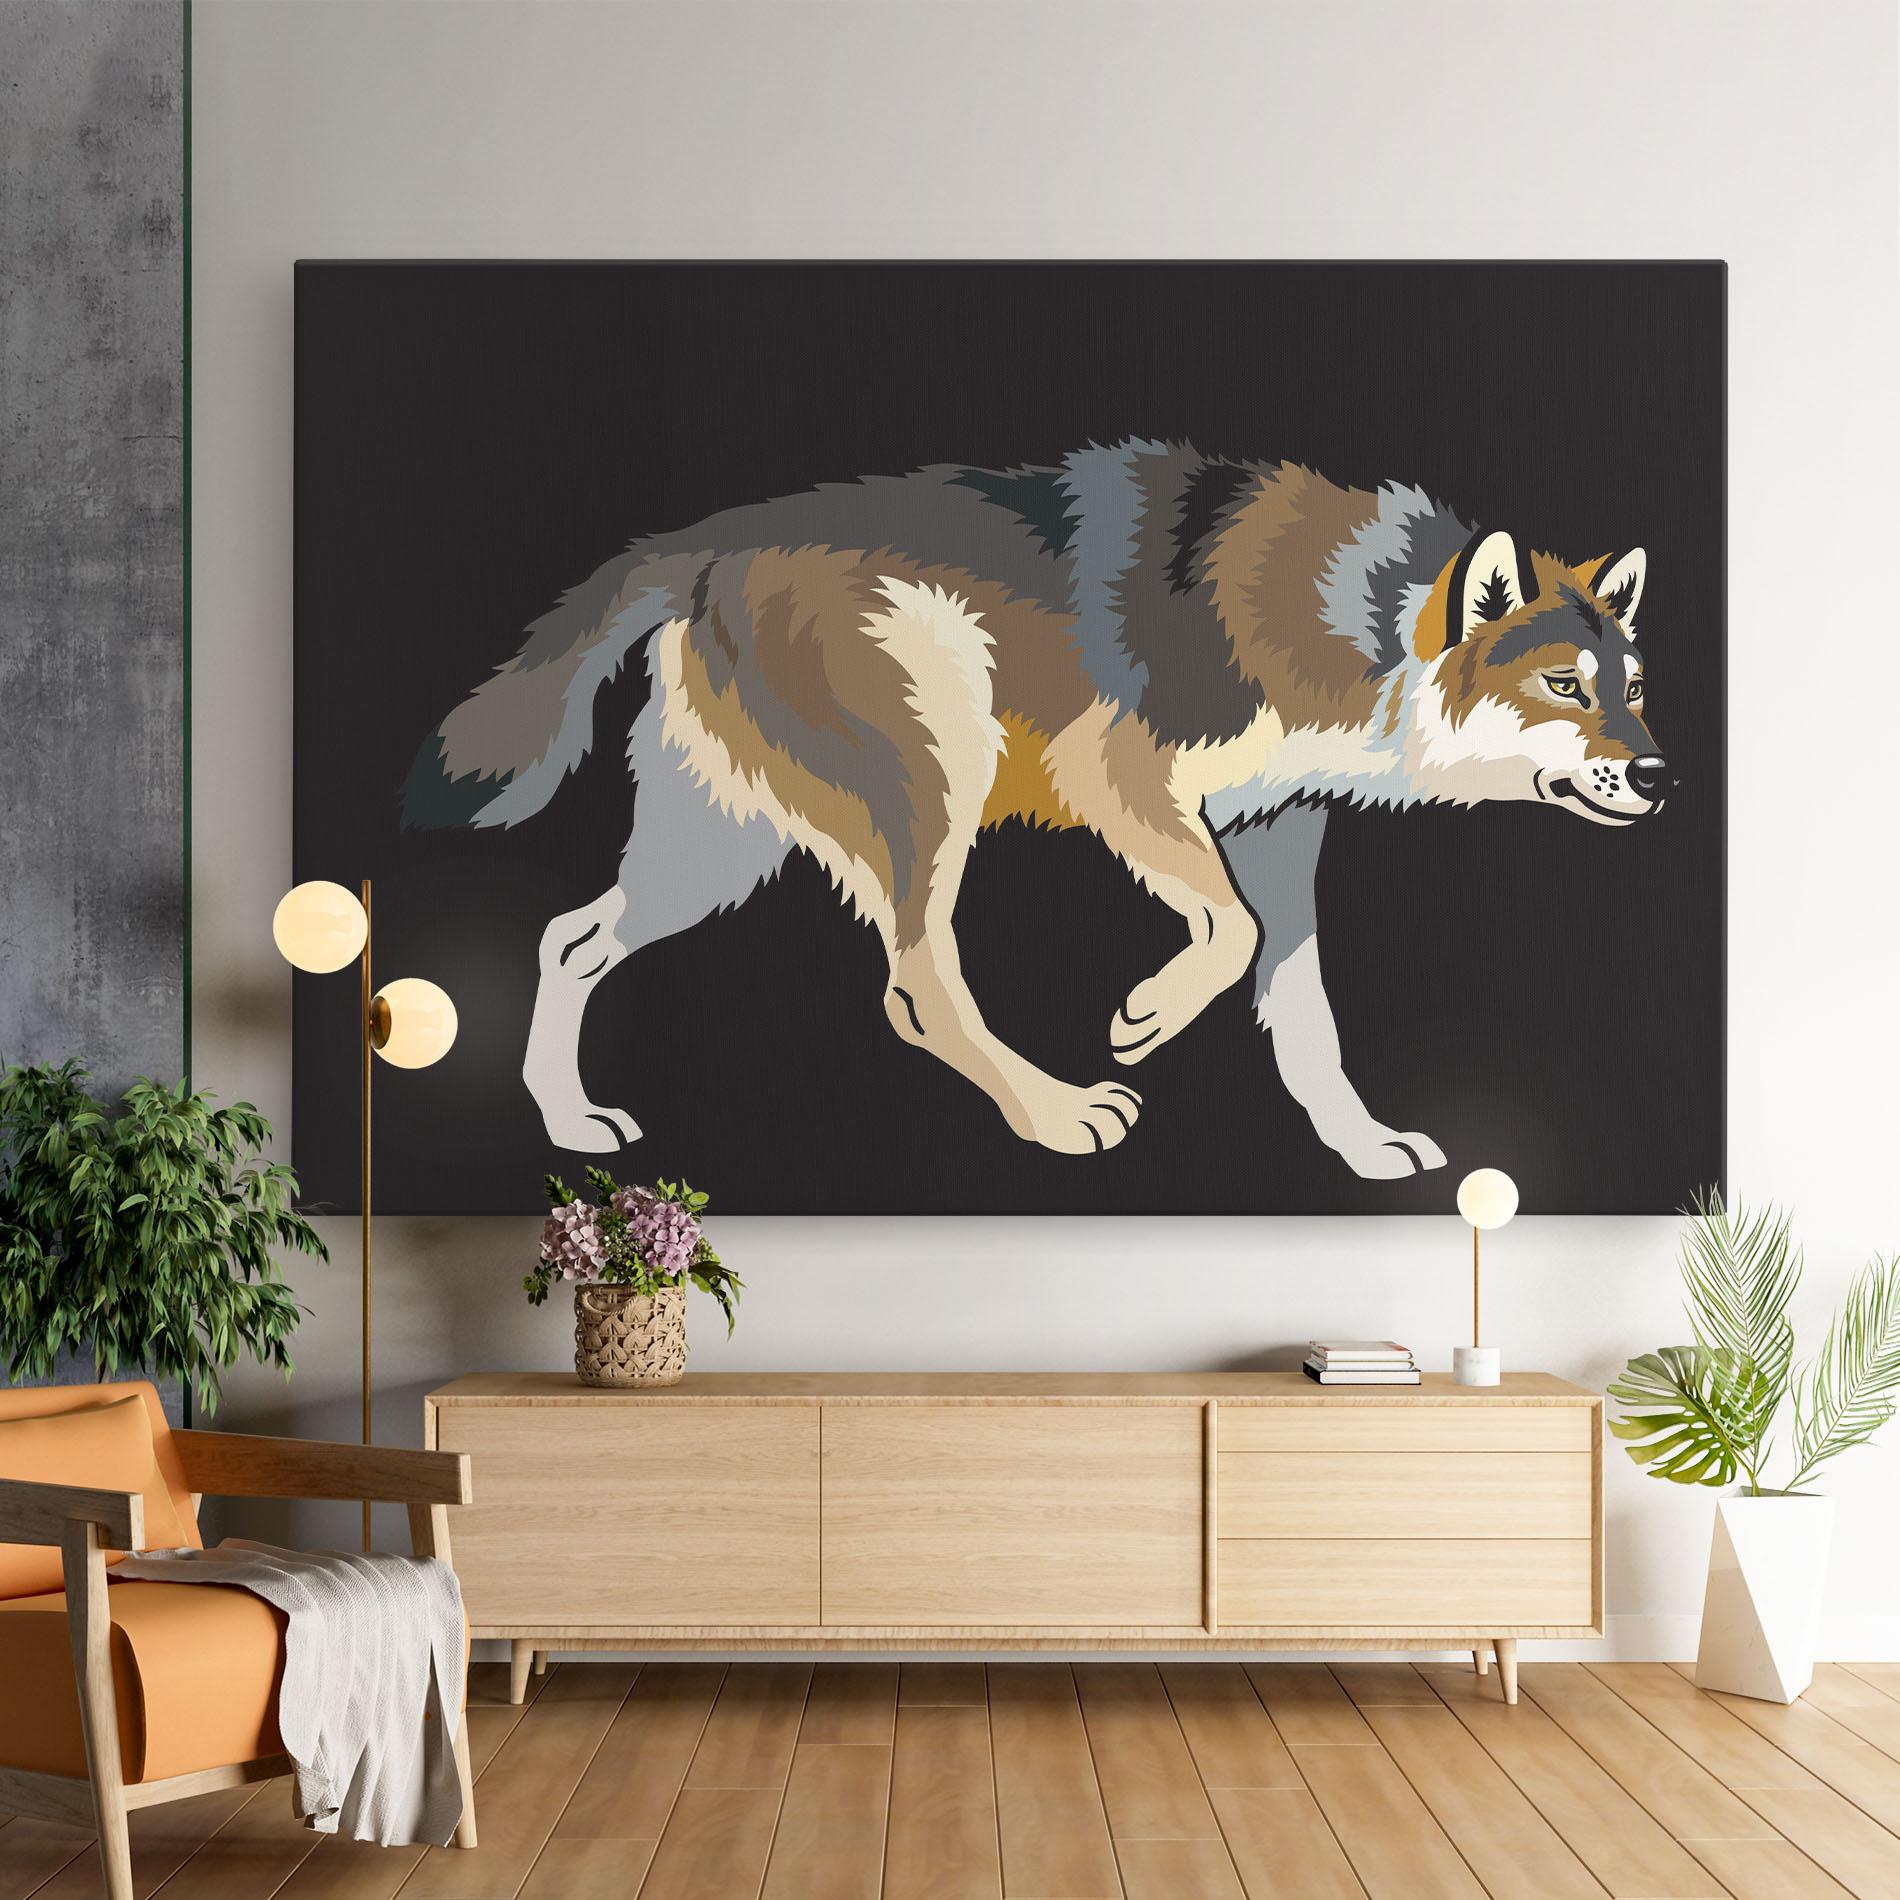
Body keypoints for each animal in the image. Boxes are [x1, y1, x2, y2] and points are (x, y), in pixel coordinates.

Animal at [403, 439, 1668, 1177]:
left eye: (1634, 690)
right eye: (1564, 688)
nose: (1661, 778)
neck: (1367, 624)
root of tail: (698, 541)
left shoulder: (1277, 827)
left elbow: (1301, 1006)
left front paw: (1360, 1147)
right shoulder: (1118, 773)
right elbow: (1229, 935)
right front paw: (1145, 1015)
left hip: (717, 853)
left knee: (570, 939)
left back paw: (569, 1125)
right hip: (932, 781)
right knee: (916, 984)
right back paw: (1056, 1116)